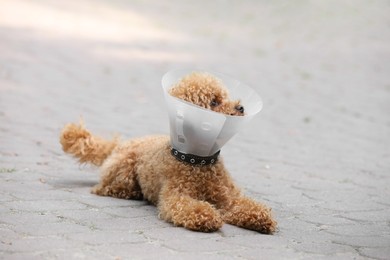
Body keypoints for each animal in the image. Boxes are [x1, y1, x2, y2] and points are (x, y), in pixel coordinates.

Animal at [59, 71, 276, 234]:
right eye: (214, 102)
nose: (241, 107)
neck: (199, 161)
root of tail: (120, 145)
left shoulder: (228, 198)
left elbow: (244, 205)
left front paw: (260, 217)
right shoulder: (176, 196)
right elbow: (190, 207)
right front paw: (207, 216)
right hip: (123, 171)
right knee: (104, 188)